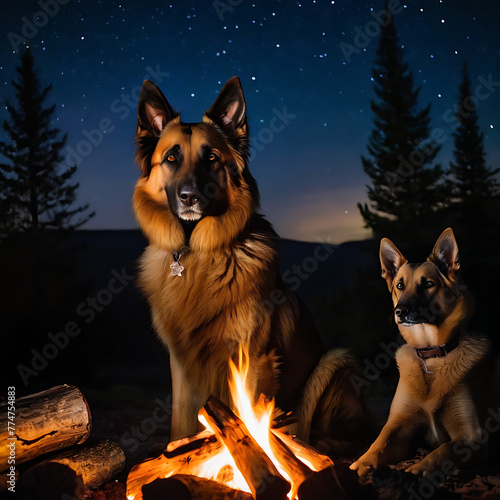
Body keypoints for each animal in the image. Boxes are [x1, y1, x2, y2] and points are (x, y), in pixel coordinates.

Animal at [133, 75, 372, 454]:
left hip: (333, 363)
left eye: (212, 158)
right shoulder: (181, 366)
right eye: (171, 157)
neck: (198, 254)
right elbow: (179, 425)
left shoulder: (253, 359)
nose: (190, 197)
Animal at [350, 229, 498, 474]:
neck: (432, 355)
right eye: (400, 286)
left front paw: (419, 469)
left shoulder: (473, 437)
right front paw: (361, 463)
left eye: (428, 283)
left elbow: (443, 450)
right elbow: (378, 444)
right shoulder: (398, 427)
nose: (400, 311)